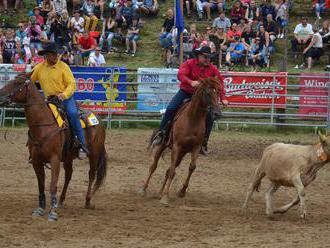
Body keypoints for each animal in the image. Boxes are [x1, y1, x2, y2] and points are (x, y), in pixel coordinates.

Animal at [0, 73, 107, 221]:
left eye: (18, 83)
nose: (0, 96)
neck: (42, 125)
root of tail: (98, 119)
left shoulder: (54, 159)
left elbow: (52, 185)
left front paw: (52, 212)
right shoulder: (37, 161)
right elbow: (41, 185)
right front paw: (40, 209)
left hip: (94, 154)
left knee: (91, 175)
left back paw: (87, 201)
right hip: (68, 157)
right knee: (69, 175)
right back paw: (61, 200)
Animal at [138, 77, 220, 205]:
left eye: (218, 92)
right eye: (207, 93)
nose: (217, 113)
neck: (193, 119)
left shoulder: (196, 147)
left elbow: (192, 167)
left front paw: (182, 191)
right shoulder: (177, 146)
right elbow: (172, 172)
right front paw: (165, 197)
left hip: (182, 153)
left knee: (168, 170)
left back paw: (160, 192)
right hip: (163, 146)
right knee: (154, 166)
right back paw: (144, 189)